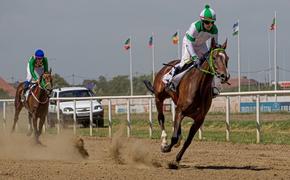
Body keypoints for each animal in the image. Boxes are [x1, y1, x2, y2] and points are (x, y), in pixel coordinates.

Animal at [144, 38, 230, 169]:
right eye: (214, 57)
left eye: (227, 58)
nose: (224, 76)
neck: (199, 88)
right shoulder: (180, 110)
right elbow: (174, 137)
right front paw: (166, 148)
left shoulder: (199, 119)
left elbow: (188, 141)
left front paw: (176, 160)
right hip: (159, 98)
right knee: (161, 118)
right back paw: (164, 141)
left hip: (175, 100)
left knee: (175, 123)